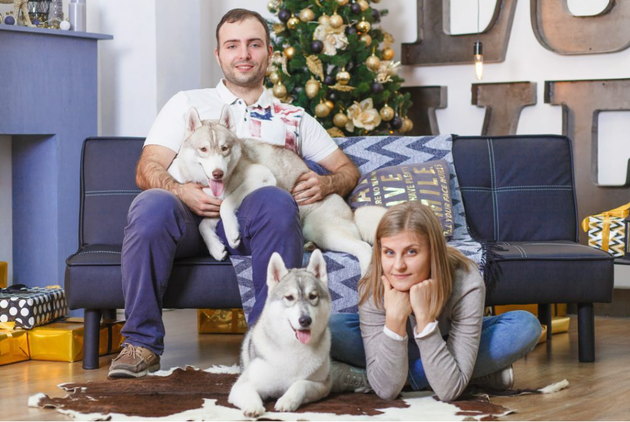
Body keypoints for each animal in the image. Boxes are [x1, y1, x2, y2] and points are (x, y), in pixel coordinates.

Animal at [168, 105, 376, 274]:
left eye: (224, 148)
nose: (217, 173)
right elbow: (204, 224)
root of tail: (351, 213)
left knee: (365, 248)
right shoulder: (212, 204)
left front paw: (232, 234)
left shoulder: (262, 175)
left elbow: (226, 204)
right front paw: (216, 247)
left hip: (325, 230)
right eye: (203, 149)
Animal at [228, 249, 334, 418]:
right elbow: (249, 392)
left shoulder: (323, 385)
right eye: (289, 297)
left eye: (313, 296)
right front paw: (253, 406)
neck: (295, 348)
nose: (305, 320)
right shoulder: (241, 385)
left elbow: (300, 383)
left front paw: (287, 400)